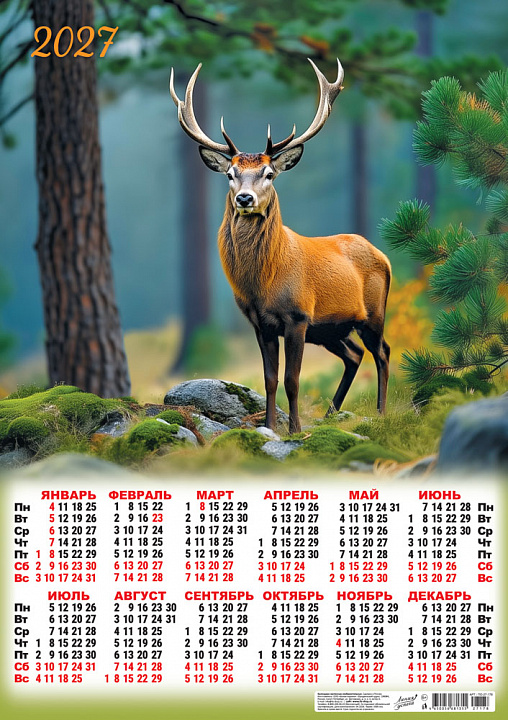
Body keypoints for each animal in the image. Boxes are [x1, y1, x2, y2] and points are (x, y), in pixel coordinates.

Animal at [170, 59, 391, 434]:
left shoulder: (298, 316)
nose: (245, 198)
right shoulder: (261, 324)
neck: (262, 285)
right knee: (355, 355)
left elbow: (292, 379)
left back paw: (379, 412)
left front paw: (296, 430)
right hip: (331, 329)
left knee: (383, 352)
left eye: (269, 173)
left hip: (372, 313)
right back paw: (331, 414)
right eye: (230, 173)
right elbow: (270, 379)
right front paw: (271, 426)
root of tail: (383, 256)